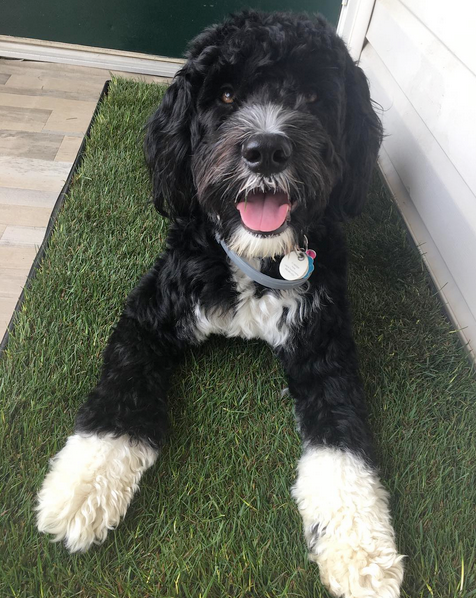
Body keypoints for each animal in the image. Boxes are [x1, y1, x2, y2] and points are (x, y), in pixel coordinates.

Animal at [35, 10, 404, 598]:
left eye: (312, 96)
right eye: (226, 95)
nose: (266, 149)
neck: (259, 257)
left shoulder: (325, 345)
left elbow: (344, 442)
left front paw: (362, 552)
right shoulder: (150, 313)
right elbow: (121, 394)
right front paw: (81, 489)